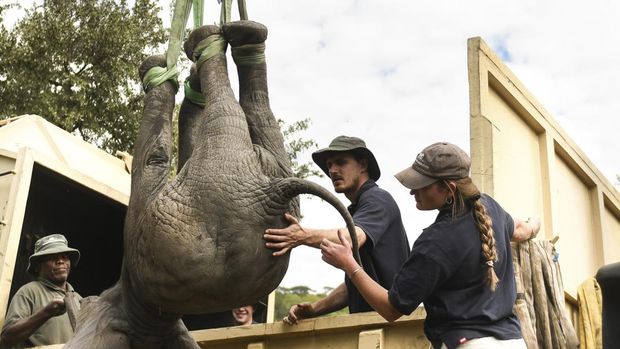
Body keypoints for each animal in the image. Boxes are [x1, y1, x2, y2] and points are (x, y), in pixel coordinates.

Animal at [64, 20, 358, 346]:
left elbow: (154, 156)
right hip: (263, 167)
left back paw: (188, 51)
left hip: (211, 177)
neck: (151, 322)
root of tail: (271, 193)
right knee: (258, 115)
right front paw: (190, 79)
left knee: (183, 138)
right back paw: (245, 38)